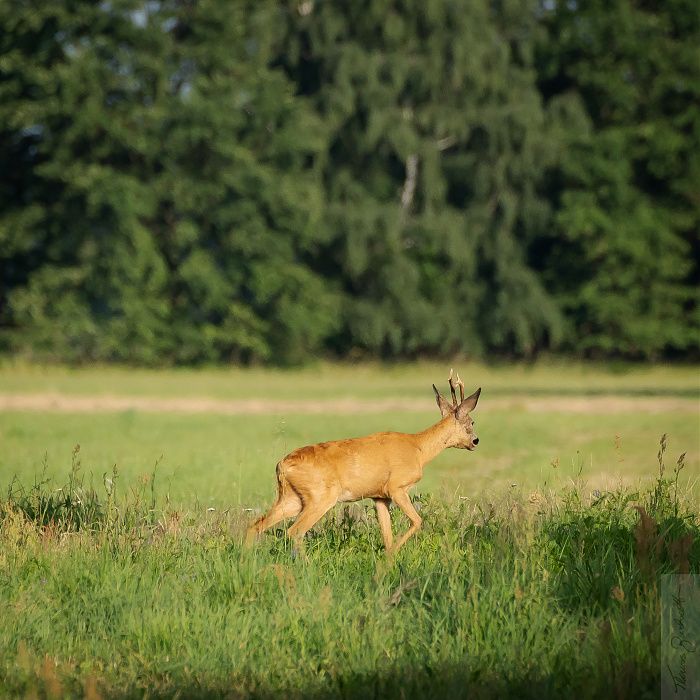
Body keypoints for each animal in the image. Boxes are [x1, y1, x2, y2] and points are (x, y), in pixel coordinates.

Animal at [246, 370, 482, 556]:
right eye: (472, 422)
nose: (475, 441)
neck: (419, 449)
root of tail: (281, 465)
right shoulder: (397, 487)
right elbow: (417, 521)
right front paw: (393, 555)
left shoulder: (380, 497)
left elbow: (387, 536)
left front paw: (387, 562)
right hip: (320, 497)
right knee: (295, 531)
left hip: (292, 498)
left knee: (255, 524)